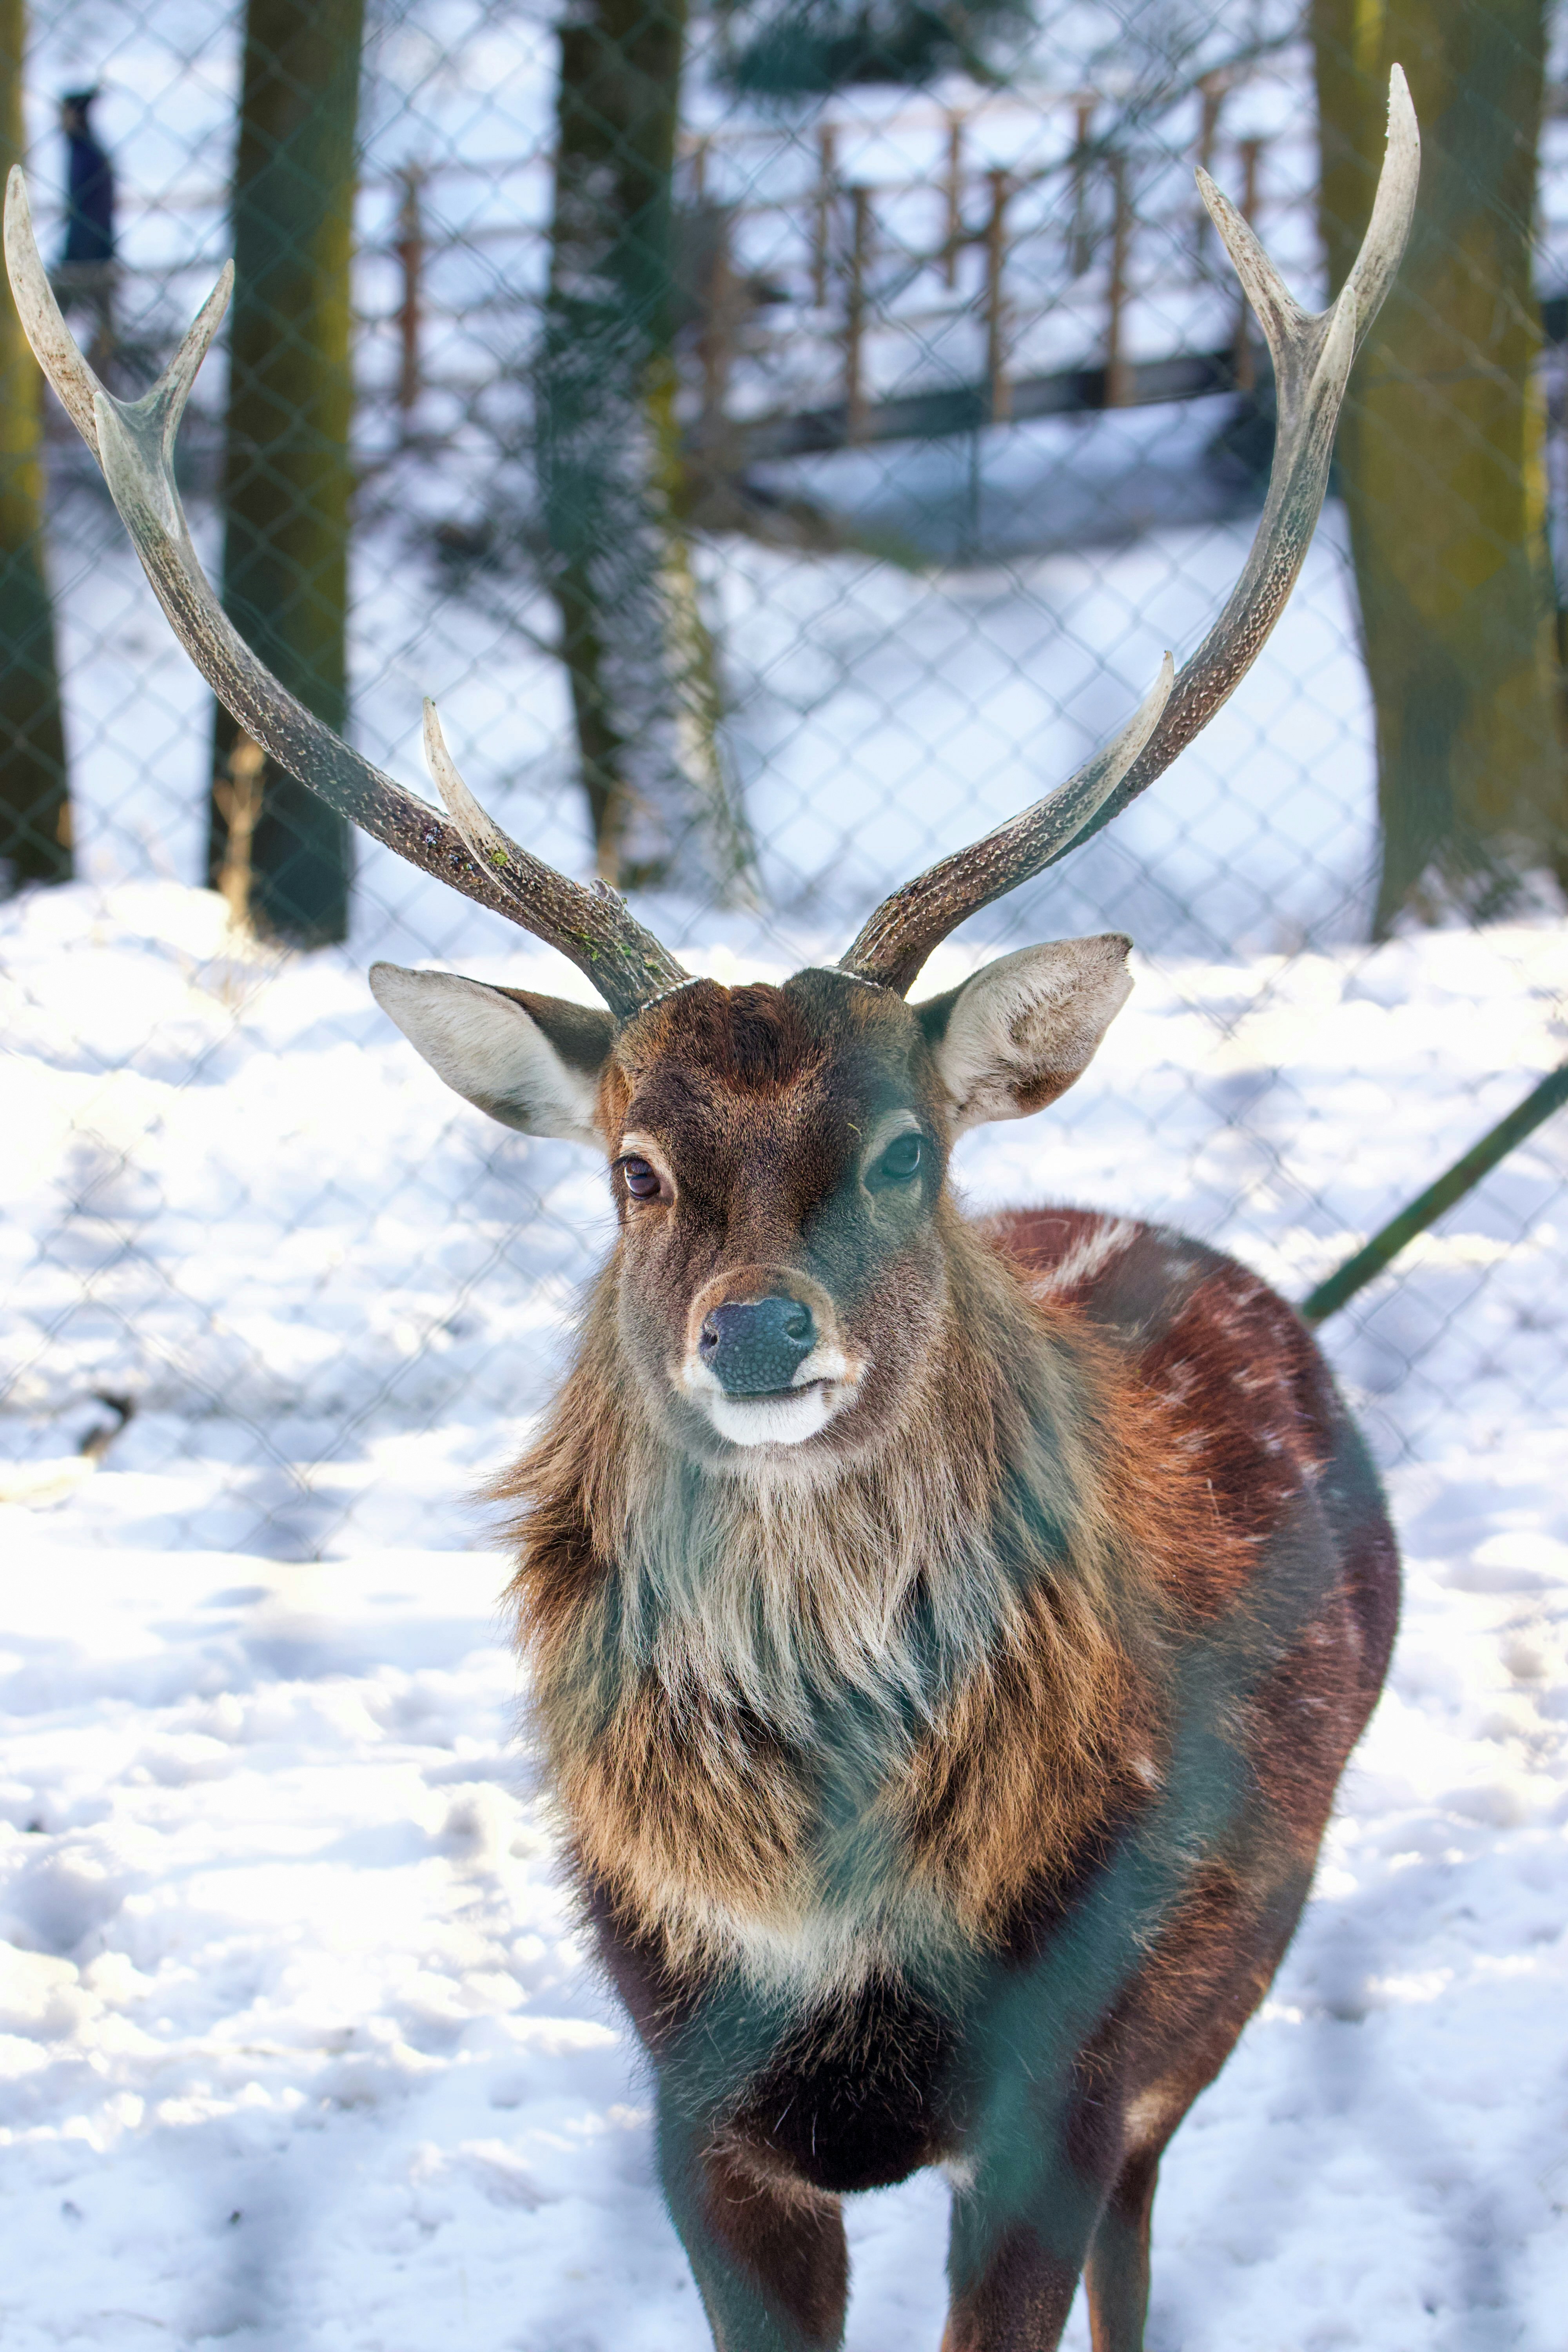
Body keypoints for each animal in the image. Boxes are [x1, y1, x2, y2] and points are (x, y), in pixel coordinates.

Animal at [6, 70, 1417, 2352]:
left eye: (909, 1151)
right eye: (630, 1167)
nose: (761, 1329)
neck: (828, 1911)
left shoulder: (1058, 2083)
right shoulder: (693, 2103)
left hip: (1220, 1985)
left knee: (1152, 2224)